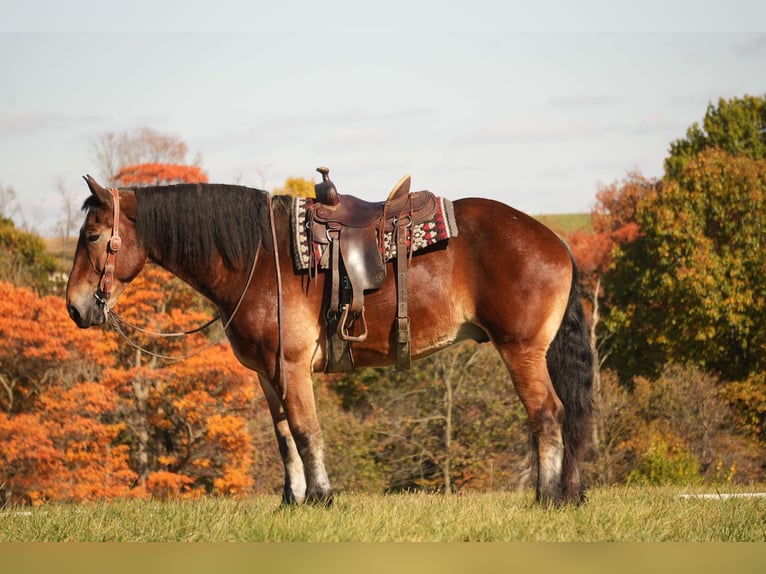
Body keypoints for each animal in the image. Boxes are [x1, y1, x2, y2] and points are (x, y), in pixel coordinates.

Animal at [64, 174, 592, 504]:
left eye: (92, 237)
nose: (74, 307)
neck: (259, 258)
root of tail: (554, 240)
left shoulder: (292, 365)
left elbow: (306, 430)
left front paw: (320, 497)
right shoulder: (267, 373)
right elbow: (284, 437)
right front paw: (291, 499)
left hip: (521, 351)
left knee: (548, 414)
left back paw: (547, 497)